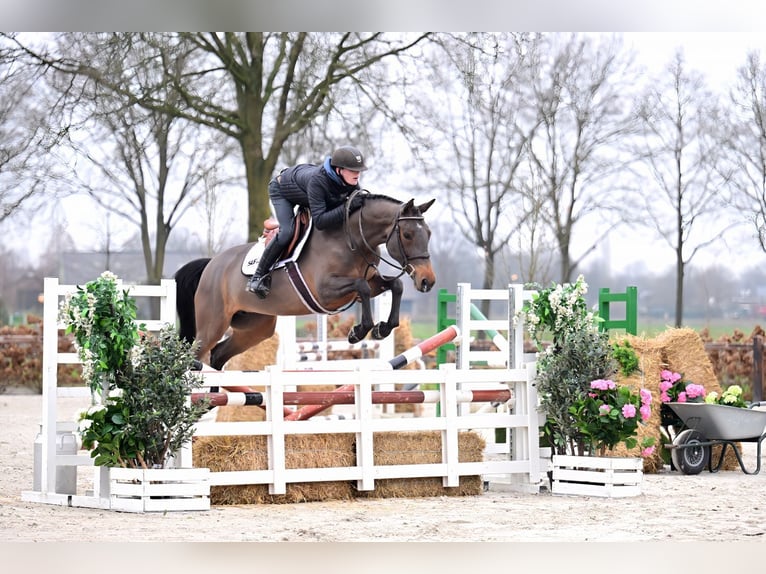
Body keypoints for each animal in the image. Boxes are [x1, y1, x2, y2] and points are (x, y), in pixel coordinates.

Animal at [176, 192, 438, 374]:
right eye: (407, 235)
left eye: (429, 233)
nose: (427, 281)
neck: (352, 239)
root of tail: (211, 265)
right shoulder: (326, 293)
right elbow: (361, 288)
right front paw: (358, 332)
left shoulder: (370, 282)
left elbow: (395, 286)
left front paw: (382, 328)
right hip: (214, 324)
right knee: (194, 356)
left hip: (256, 326)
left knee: (218, 355)